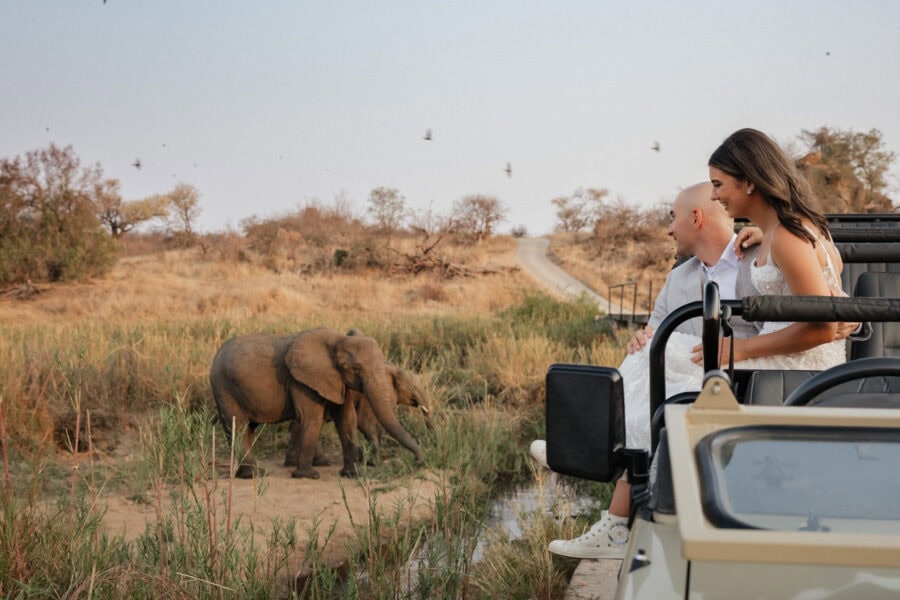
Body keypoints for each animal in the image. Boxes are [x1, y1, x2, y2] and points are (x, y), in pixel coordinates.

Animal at [209, 327, 424, 479]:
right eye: (355, 368)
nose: (418, 461)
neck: (338, 340)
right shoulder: (302, 381)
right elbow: (311, 418)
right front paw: (308, 476)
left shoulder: (338, 381)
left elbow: (347, 419)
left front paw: (352, 474)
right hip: (224, 387)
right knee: (238, 426)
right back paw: (253, 475)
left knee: (247, 429)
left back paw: (249, 473)